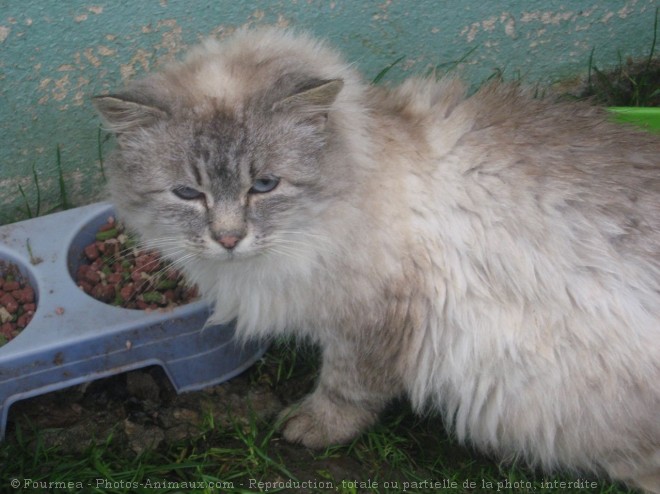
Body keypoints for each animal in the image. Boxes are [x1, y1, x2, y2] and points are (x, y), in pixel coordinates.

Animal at [93, 28, 660, 494]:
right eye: (188, 194)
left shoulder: (375, 322)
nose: (228, 239)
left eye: (265, 185)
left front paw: (310, 429)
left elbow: (348, 390)